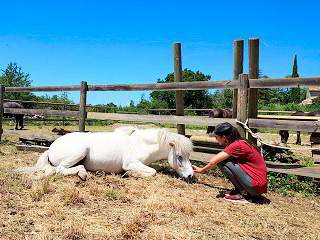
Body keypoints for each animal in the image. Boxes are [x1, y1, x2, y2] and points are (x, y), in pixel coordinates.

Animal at [16, 126, 194, 181]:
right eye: (179, 157)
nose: (191, 176)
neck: (141, 144)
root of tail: (51, 147)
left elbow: (156, 168)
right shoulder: (131, 163)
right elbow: (152, 172)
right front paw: (129, 174)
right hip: (79, 152)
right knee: (60, 169)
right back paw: (83, 174)